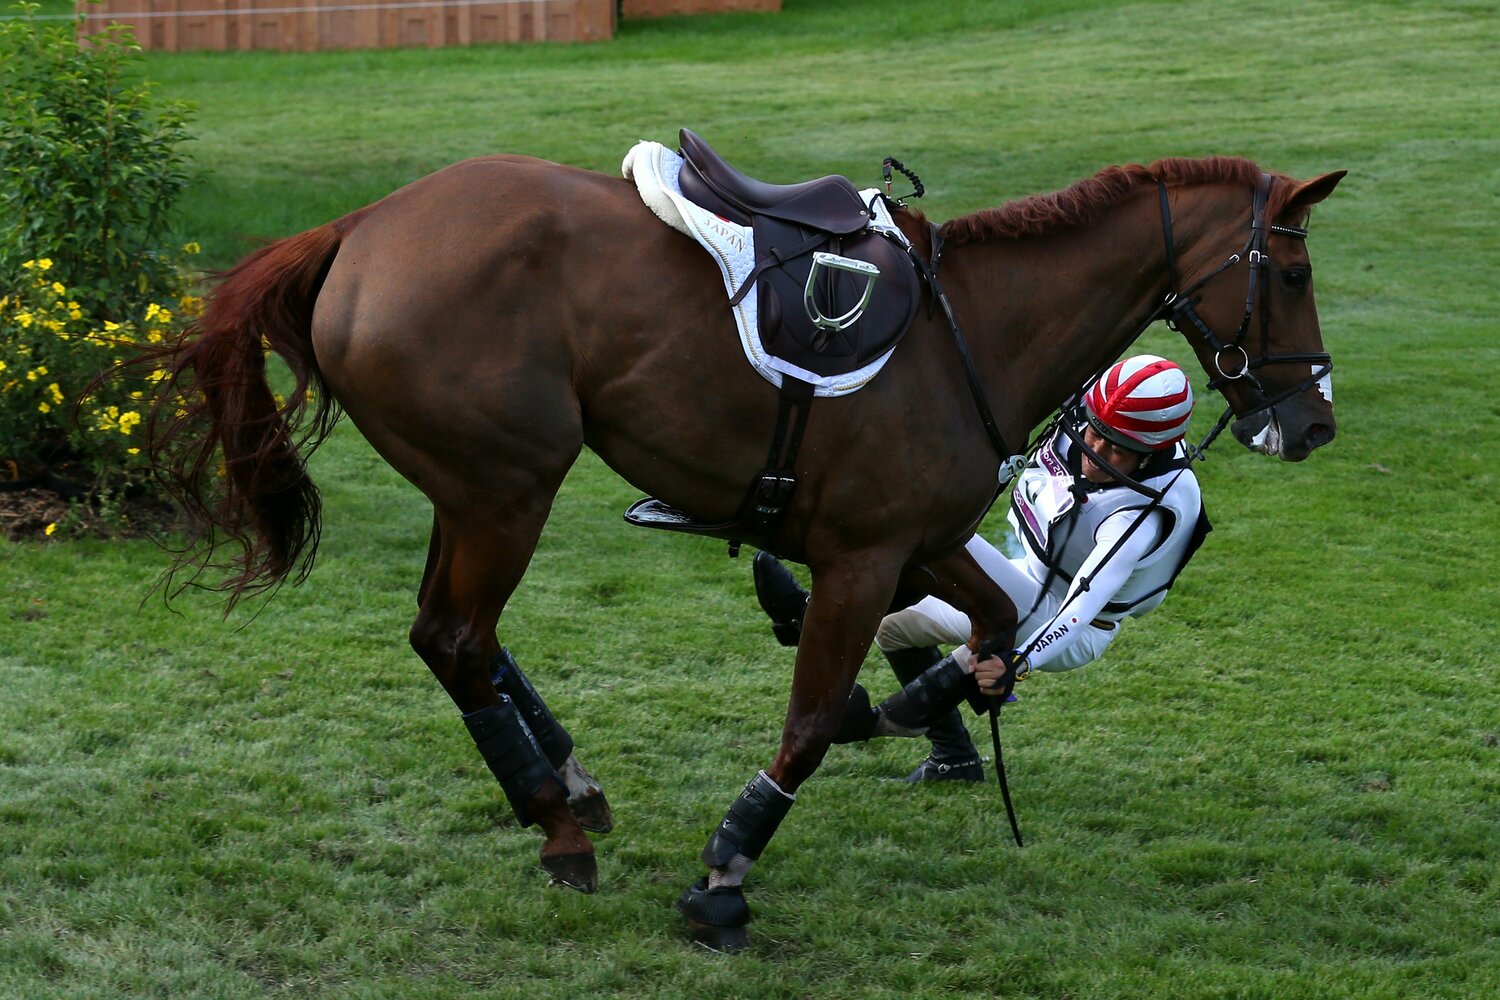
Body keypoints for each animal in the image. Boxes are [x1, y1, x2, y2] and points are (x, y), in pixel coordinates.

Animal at [139, 140, 1343, 949]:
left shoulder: (921, 542)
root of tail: (361, 225)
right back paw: (559, 821)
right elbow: (808, 726)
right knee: (456, 636)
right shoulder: (862, 559)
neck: (973, 333)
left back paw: (564, 781)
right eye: (1291, 276)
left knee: (457, 638)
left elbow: (997, 630)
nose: (1315, 424)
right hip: (507, 488)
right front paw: (724, 876)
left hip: (475, 490)